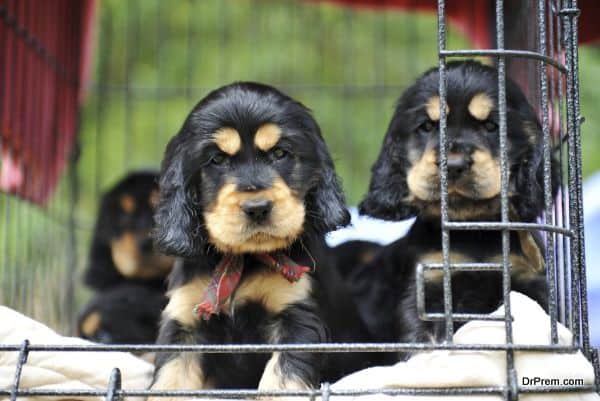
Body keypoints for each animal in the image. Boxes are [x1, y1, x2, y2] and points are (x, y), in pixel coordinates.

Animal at [149, 83, 376, 396]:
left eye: (280, 153)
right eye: (217, 160)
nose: (257, 208)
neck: (244, 260)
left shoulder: (297, 316)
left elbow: (281, 378)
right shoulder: (185, 319)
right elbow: (170, 380)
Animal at [352, 59, 552, 354]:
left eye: (491, 126)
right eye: (427, 127)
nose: (455, 165)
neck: (470, 229)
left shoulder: (528, 281)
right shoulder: (425, 287)